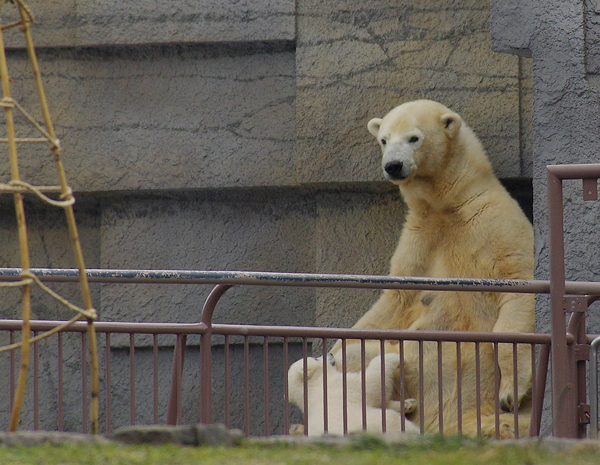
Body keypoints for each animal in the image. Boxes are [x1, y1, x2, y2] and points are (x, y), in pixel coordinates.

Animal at [288, 352, 420, 436]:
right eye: (315, 358)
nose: (330, 354)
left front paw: (409, 404)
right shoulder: (341, 386)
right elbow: (372, 383)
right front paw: (398, 358)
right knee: (392, 419)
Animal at [332, 99, 536, 436]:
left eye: (413, 138)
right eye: (384, 140)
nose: (393, 166)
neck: (448, 205)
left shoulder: (492, 222)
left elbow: (517, 284)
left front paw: (510, 392)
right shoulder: (420, 238)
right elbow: (395, 299)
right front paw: (334, 349)